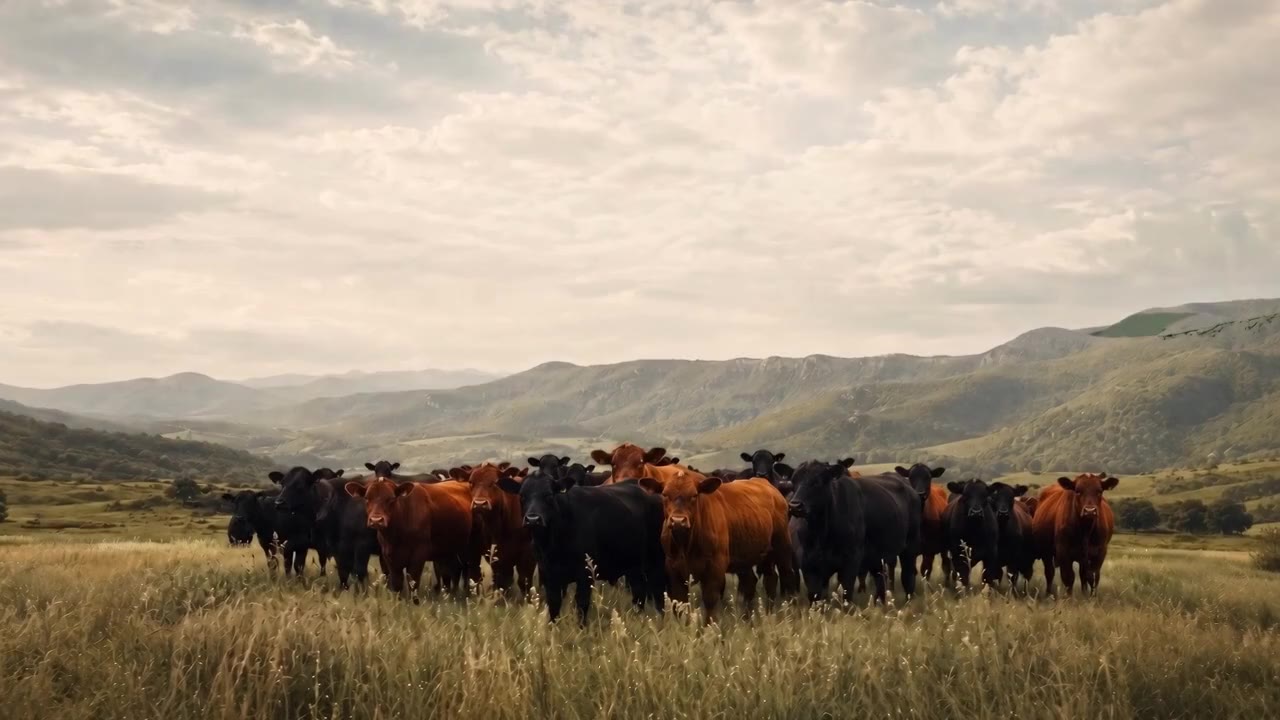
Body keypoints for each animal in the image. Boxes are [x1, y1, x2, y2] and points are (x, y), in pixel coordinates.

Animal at [344, 477, 479, 601]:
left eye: (391, 498)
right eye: (367, 498)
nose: (376, 520)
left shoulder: (418, 555)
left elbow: (413, 583)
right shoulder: (390, 557)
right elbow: (397, 584)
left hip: (472, 548)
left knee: (472, 572)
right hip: (448, 551)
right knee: (453, 572)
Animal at [462, 462, 536, 598]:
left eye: (495, 482)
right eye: (471, 482)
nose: (479, 504)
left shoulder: (528, 554)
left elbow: (525, 581)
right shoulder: (496, 556)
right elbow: (502, 582)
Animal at [496, 465, 666, 624]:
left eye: (549, 495)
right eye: (522, 496)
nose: (532, 519)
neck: (552, 543)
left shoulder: (585, 574)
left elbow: (581, 605)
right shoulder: (549, 574)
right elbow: (553, 606)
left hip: (655, 559)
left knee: (657, 591)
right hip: (633, 565)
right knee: (639, 592)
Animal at [638, 466, 796, 624]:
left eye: (694, 495)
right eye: (665, 494)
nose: (678, 521)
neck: (686, 544)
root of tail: (768, 486)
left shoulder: (715, 567)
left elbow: (710, 600)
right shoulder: (673, 569)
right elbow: (680, 603)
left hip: (782, 546)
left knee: (786, 576)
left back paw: (789, 613)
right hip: (748, 557)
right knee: (758, 581)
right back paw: (751, 617)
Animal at [787, 459, 920, 606]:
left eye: (817, 481)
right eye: (793, 481)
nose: (795, 505)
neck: (821, 534)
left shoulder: (851, 560)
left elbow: (846, 594)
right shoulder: (808, 565)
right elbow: (815, 598)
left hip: (910, 546)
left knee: (907, 575)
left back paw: (909, 602)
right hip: (876, 554)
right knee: (880, 578)